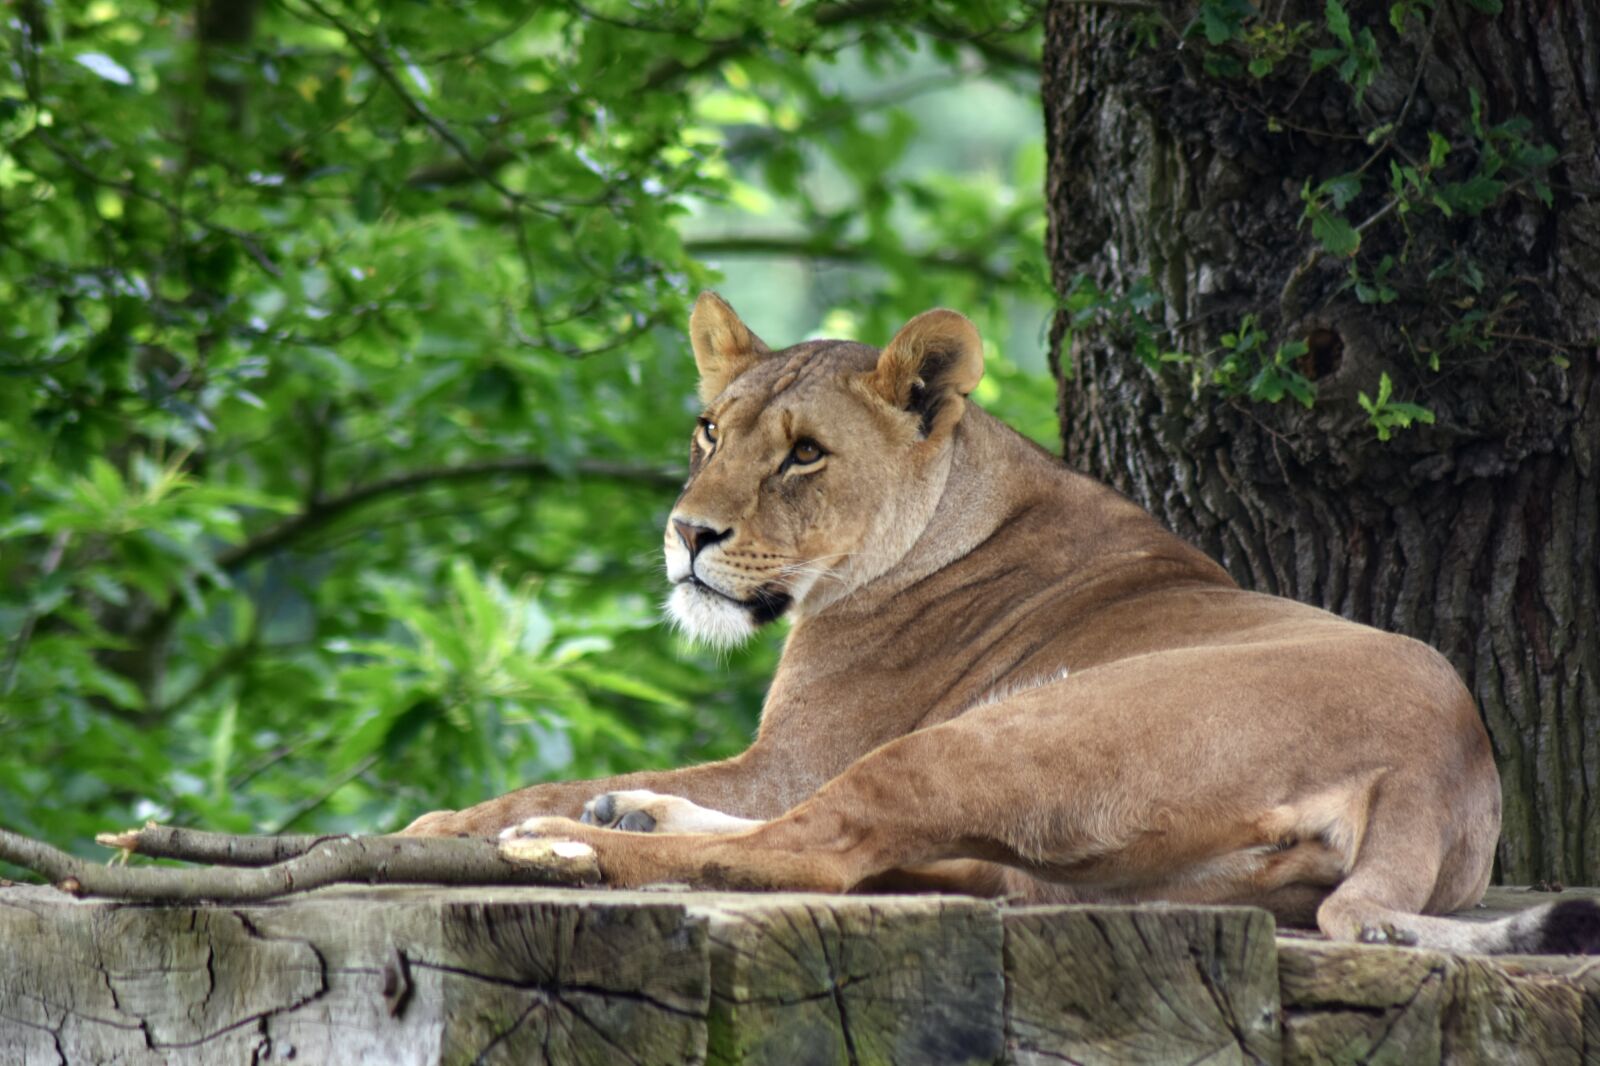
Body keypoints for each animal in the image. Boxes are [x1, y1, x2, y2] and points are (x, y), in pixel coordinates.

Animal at [406, 292, 1600, 954]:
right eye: (709, 430)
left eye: (804, 455)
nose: (687, 534)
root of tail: (1438, 760)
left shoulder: (794, 756)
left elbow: (632, 789)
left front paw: (456, 821)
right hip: (1125, 866)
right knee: (916, 865)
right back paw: (628, 817)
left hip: (1006, 731)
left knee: (817, 850)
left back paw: (569, 842)